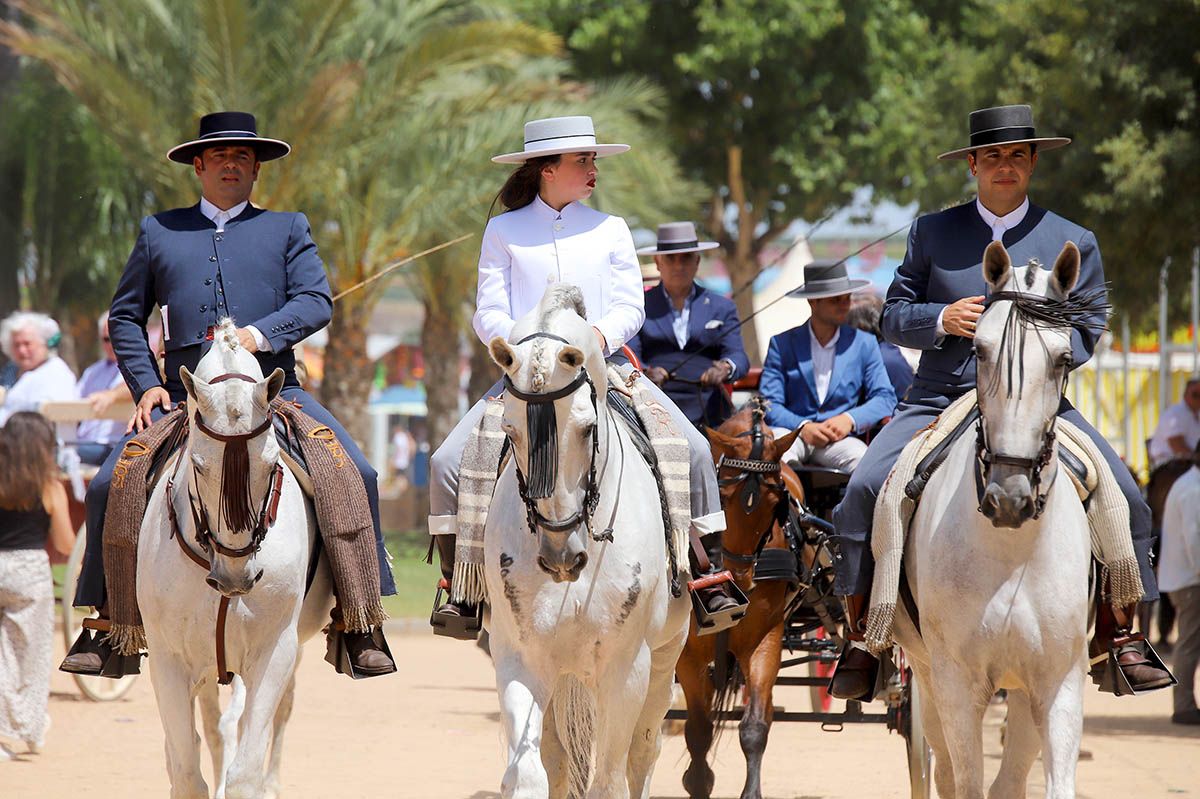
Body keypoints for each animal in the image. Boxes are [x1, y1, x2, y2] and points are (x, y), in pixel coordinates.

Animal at [137, 319, 333, 796]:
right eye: (198, 464)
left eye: (271, 461)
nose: (236, 577)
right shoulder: (169, 661)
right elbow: (186, 770)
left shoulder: (273, 652)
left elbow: (246, 769)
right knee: (208, 729)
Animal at [484, 286, 696, 796]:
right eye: (509, 430)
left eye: (586, 428)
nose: (561, 557)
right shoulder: (519, 658)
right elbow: (529, 775)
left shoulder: (625, 670)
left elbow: (610, 779)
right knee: (558, 760)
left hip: (664, 662)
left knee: (642, 755)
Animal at [676, 400, 806, 796]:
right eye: (721, 496)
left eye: (777, 500)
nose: (742, 576)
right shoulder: (688, 654)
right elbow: (698, 731)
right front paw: (698, 781)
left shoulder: (764, 638)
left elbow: (754, 728)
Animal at [892, 241, 1099, 796]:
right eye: (979, 351)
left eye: (1064, 358)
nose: (1010, 497)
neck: (1012, 552)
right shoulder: (956, 683)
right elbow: (964, 780)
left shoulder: (1057, 679)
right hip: (927, 676)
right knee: (942, 768)